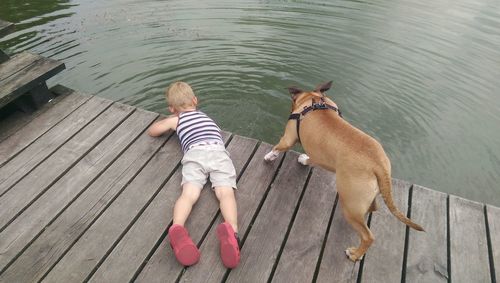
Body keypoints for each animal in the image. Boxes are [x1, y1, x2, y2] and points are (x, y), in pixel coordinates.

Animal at [264, 81, 424, 262]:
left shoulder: (288, 138)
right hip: (363, 196)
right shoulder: (318, 154)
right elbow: (312, 158)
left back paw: (355, 254)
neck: (313, 99)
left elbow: (278, 147)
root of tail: (378, 164)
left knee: (368, 236)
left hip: (351, 203)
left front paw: (269, 156)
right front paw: (304, 160)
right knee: (372, 208)